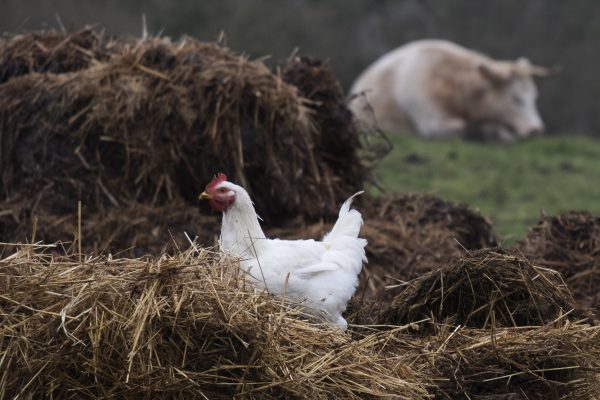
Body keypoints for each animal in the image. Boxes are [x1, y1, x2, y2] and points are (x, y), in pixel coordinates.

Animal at [350, 39, 552, 142]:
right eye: (515, 98)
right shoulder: (432, 123)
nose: (537, 129)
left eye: (534, 97)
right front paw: (502, 134)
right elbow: (468, 128)